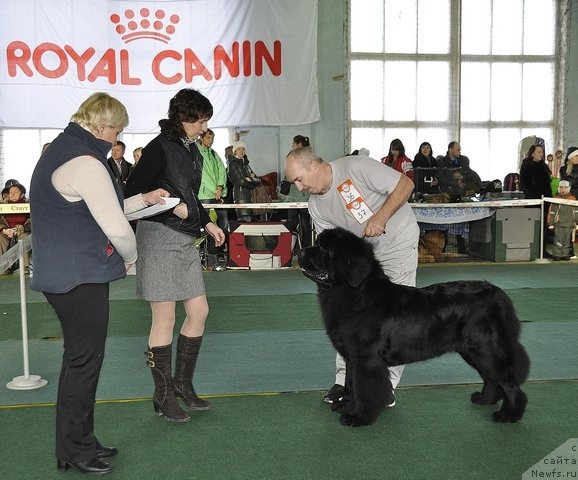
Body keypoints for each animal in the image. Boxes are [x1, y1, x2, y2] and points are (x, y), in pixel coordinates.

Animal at [300, 229, 528, 428]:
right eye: (318, 242)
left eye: (324, 248)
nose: (301, 252)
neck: (355, 293)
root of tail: (498, 294)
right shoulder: (352, 357)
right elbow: (350, 383)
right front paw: (345, 406)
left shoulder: (366, 359)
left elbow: (363, 388)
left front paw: (359, 417)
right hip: (473, 351)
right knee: (491, 377)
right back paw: (485, 399)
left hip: (485, 347)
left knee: (508, 382)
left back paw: (509, 414)